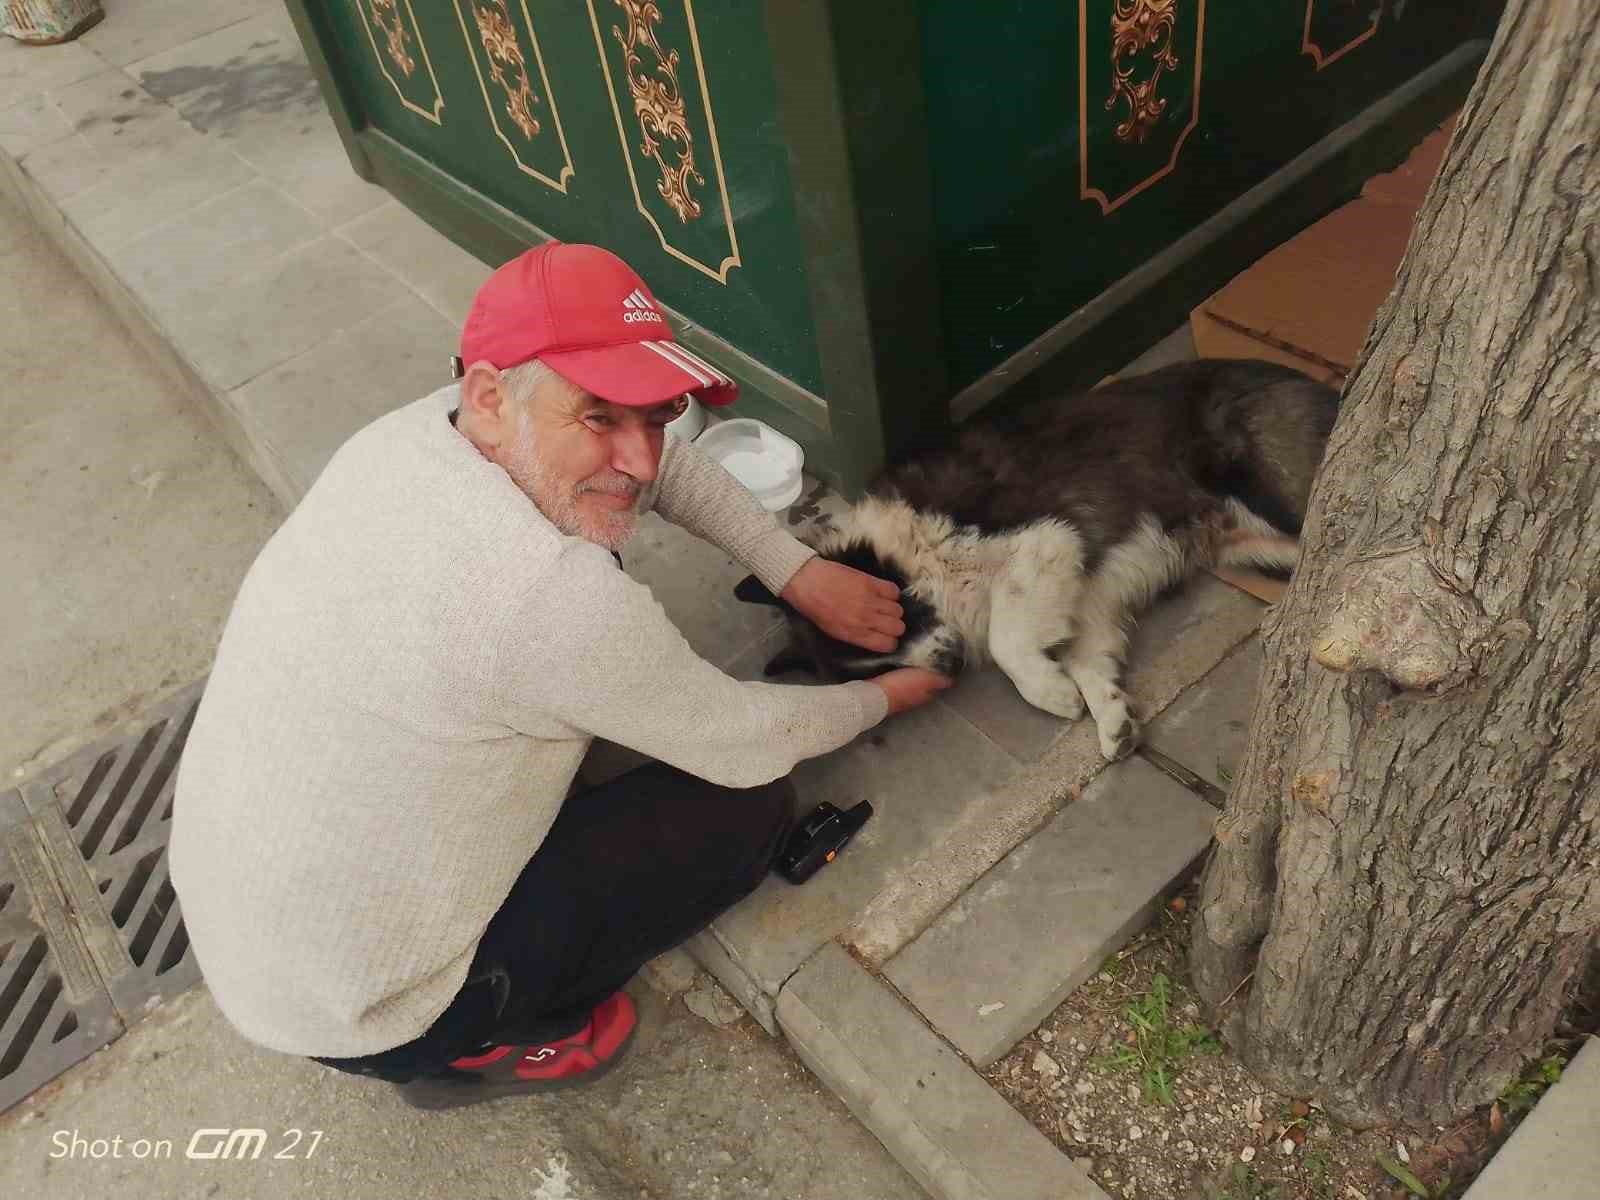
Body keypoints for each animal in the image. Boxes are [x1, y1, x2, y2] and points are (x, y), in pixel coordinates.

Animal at [732, 360, 1337, 761]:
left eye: (889, 625)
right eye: (879, 668)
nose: (950, 665)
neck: (914, 558)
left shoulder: (1045, 539)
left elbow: (1008, 643)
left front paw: (1052, 694)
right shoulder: (1090, 593)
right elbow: (1087, 659)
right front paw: (1110, 717)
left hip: (1279, 493)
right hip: (1261, 544)